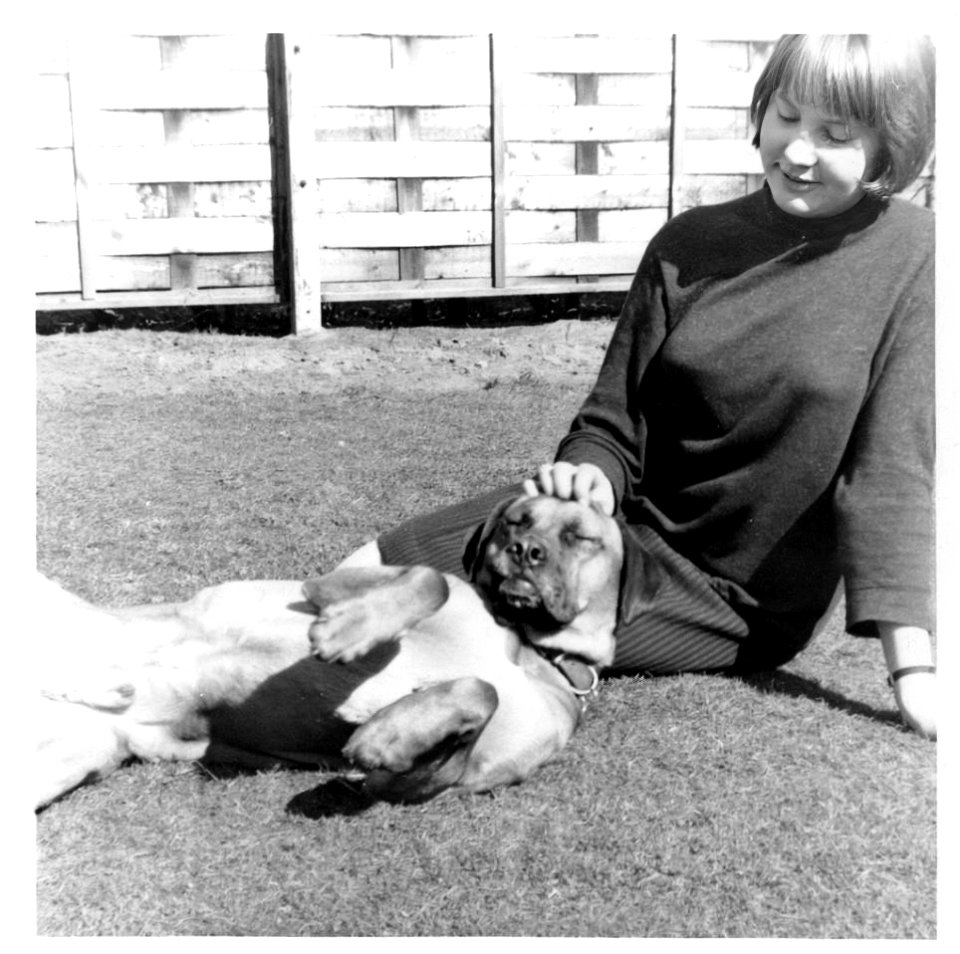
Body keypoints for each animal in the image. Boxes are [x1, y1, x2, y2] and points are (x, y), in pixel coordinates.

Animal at [37, 490, 628, 812]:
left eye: (580, 536)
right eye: (515, 520)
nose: (524, 551)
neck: (527, 649)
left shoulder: (423, 786)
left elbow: (478, 696)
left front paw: (388, 733)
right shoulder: (324, 584)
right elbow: (431, 582)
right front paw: (349, 633)